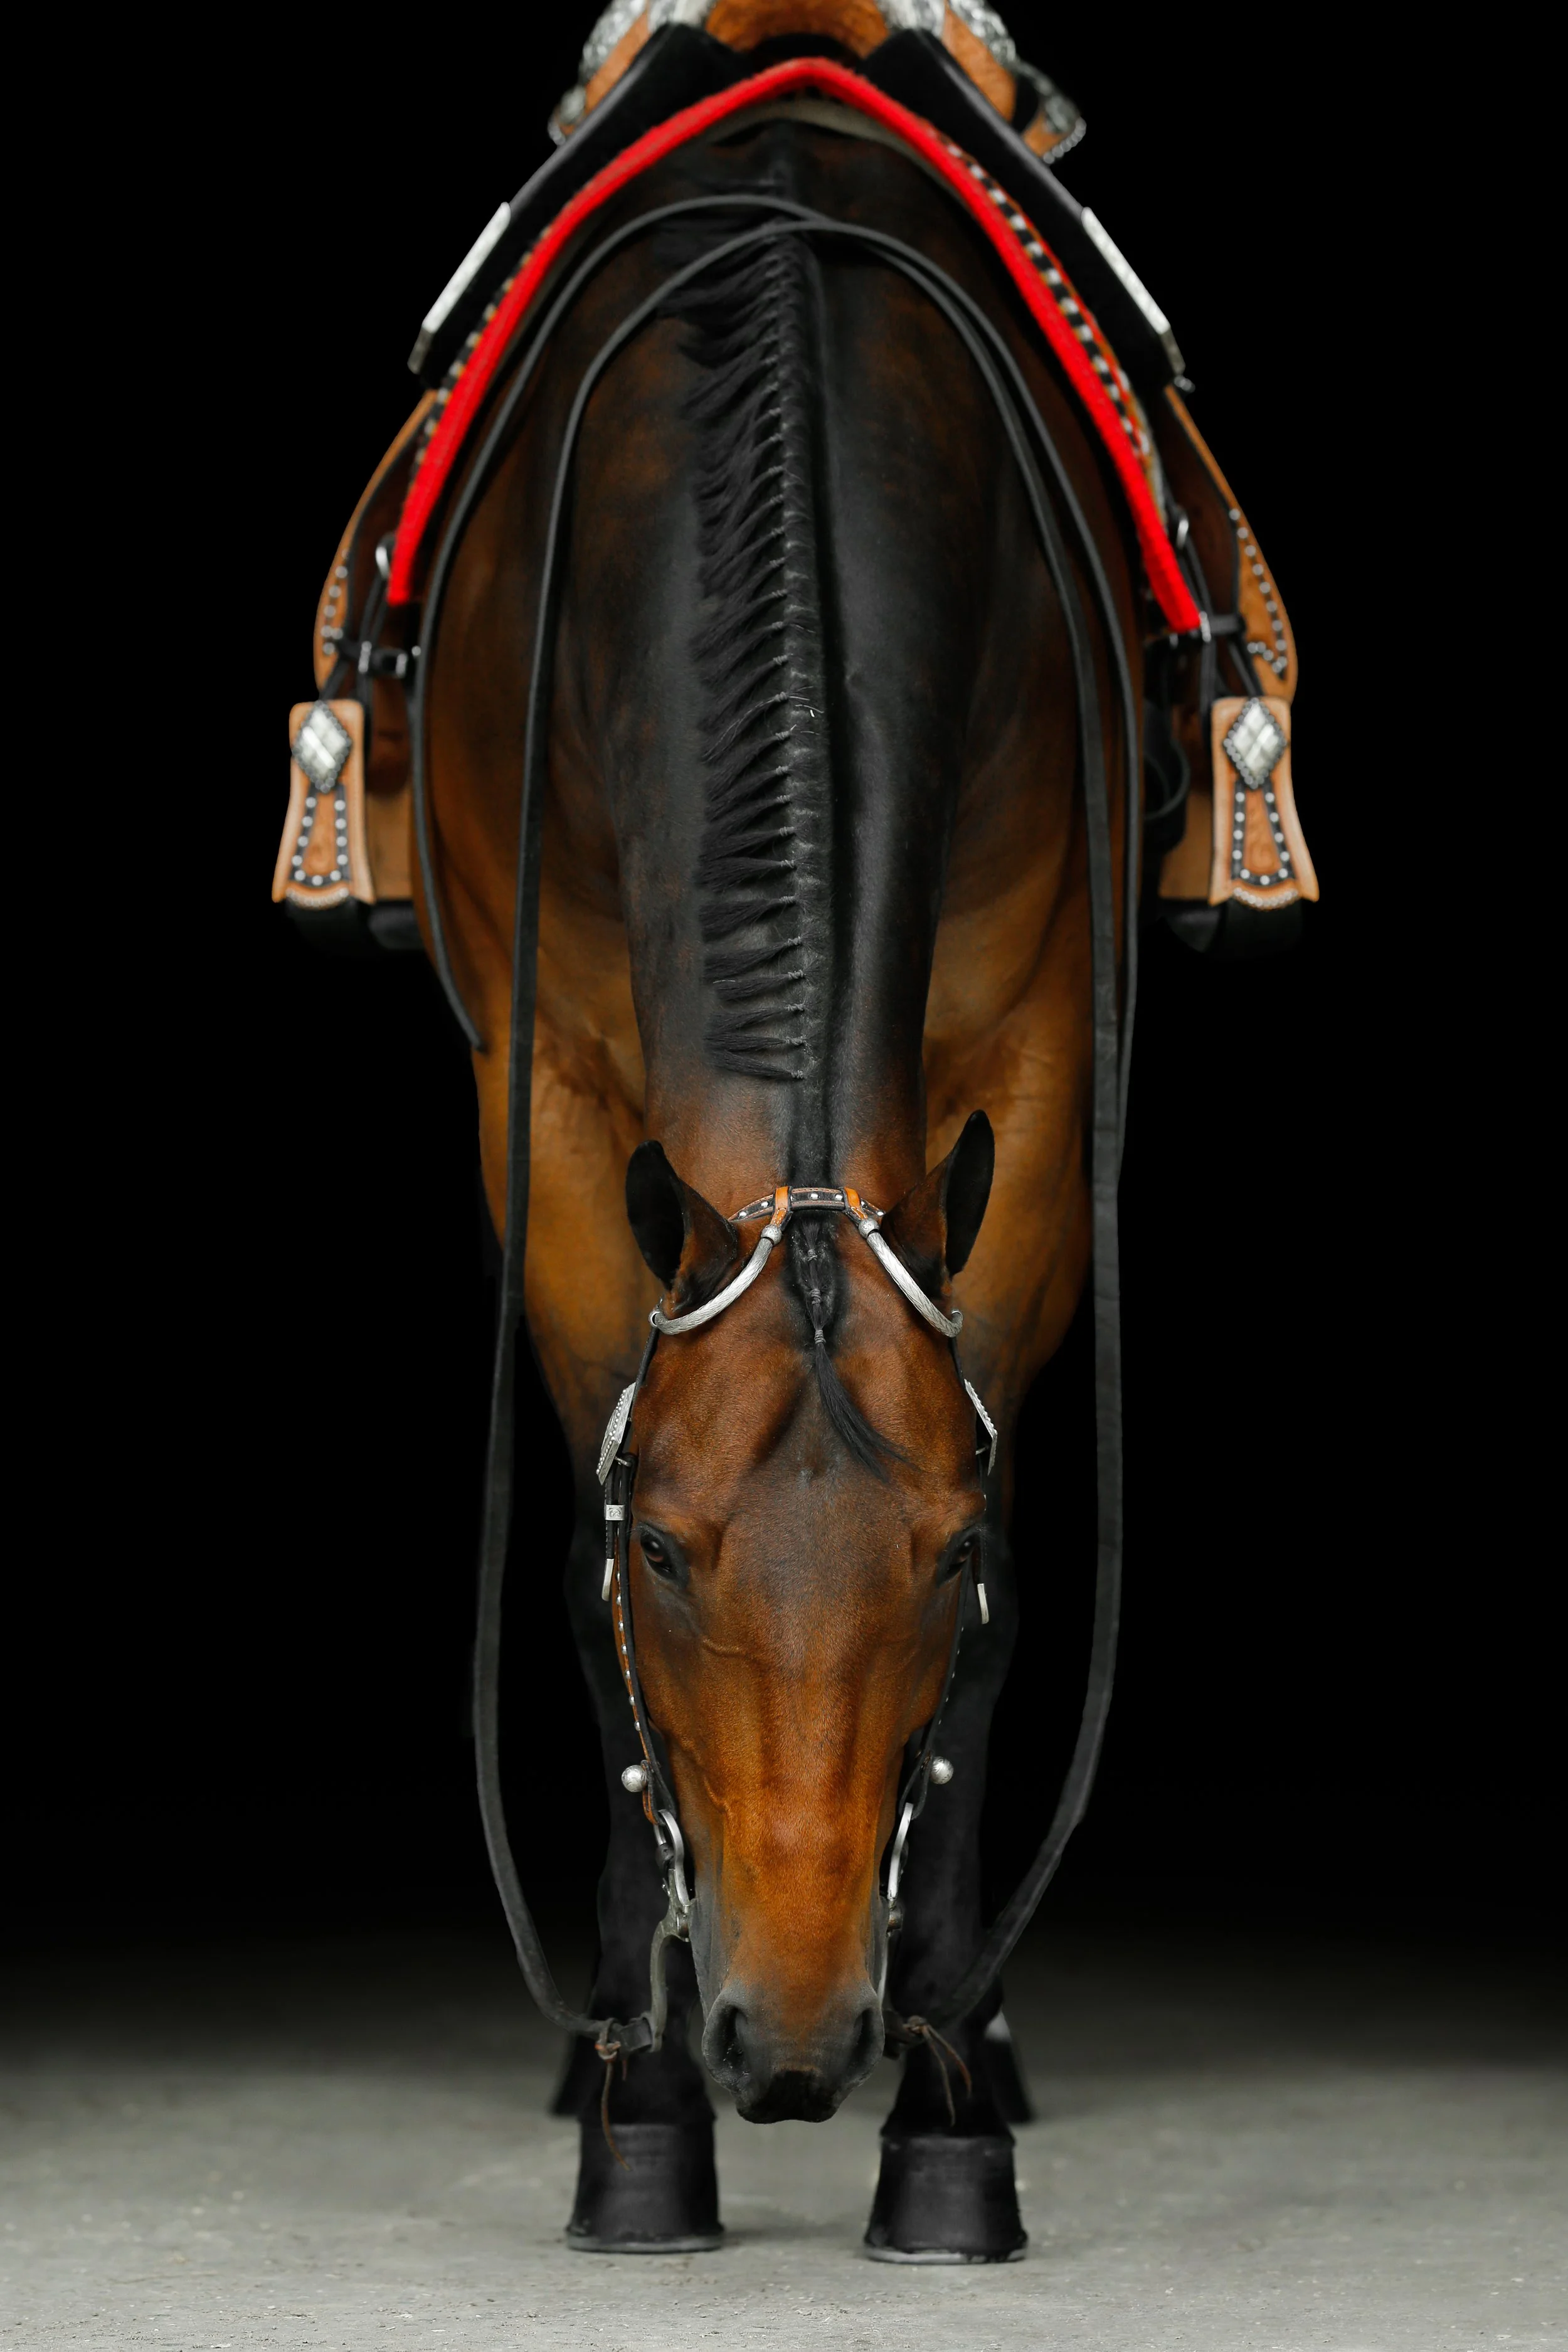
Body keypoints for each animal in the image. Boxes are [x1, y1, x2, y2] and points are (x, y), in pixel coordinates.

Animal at [414, 86, 1135, 2260]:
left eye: (946, 1566)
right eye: (666, 1554)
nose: (794, 2039)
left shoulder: (1043, 1064)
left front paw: (951, 2106)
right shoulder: (545, 1084)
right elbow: (578, 1578)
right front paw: (638, 2097)